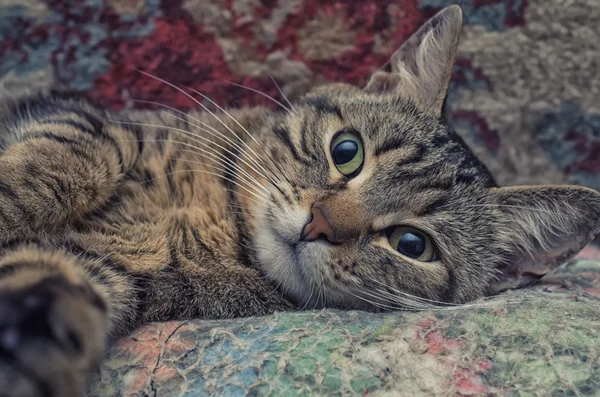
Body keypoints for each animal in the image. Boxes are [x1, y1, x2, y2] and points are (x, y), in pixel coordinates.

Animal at [1, 4, 600, 394]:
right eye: (347, 151)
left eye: (412, 244)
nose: (319, 224)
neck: (217, 221)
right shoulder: (89, 119)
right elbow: (72, 156)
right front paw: (11, 201)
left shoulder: (109, 271)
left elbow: (51, 287)